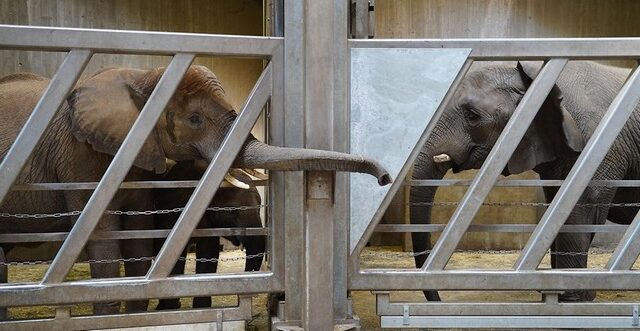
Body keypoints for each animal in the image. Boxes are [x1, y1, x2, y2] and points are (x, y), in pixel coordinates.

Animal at [154, 162, 264, 310]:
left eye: (259, 206)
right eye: (231, 210)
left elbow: (208, 253)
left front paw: (201, 308)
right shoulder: (173, 211)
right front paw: (170, 309)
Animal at [412, 61, 636, 304]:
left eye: (472, 115)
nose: (438, 298)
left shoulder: (599, 147)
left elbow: (578, 208)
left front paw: (572, 299)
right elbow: (556, 206)